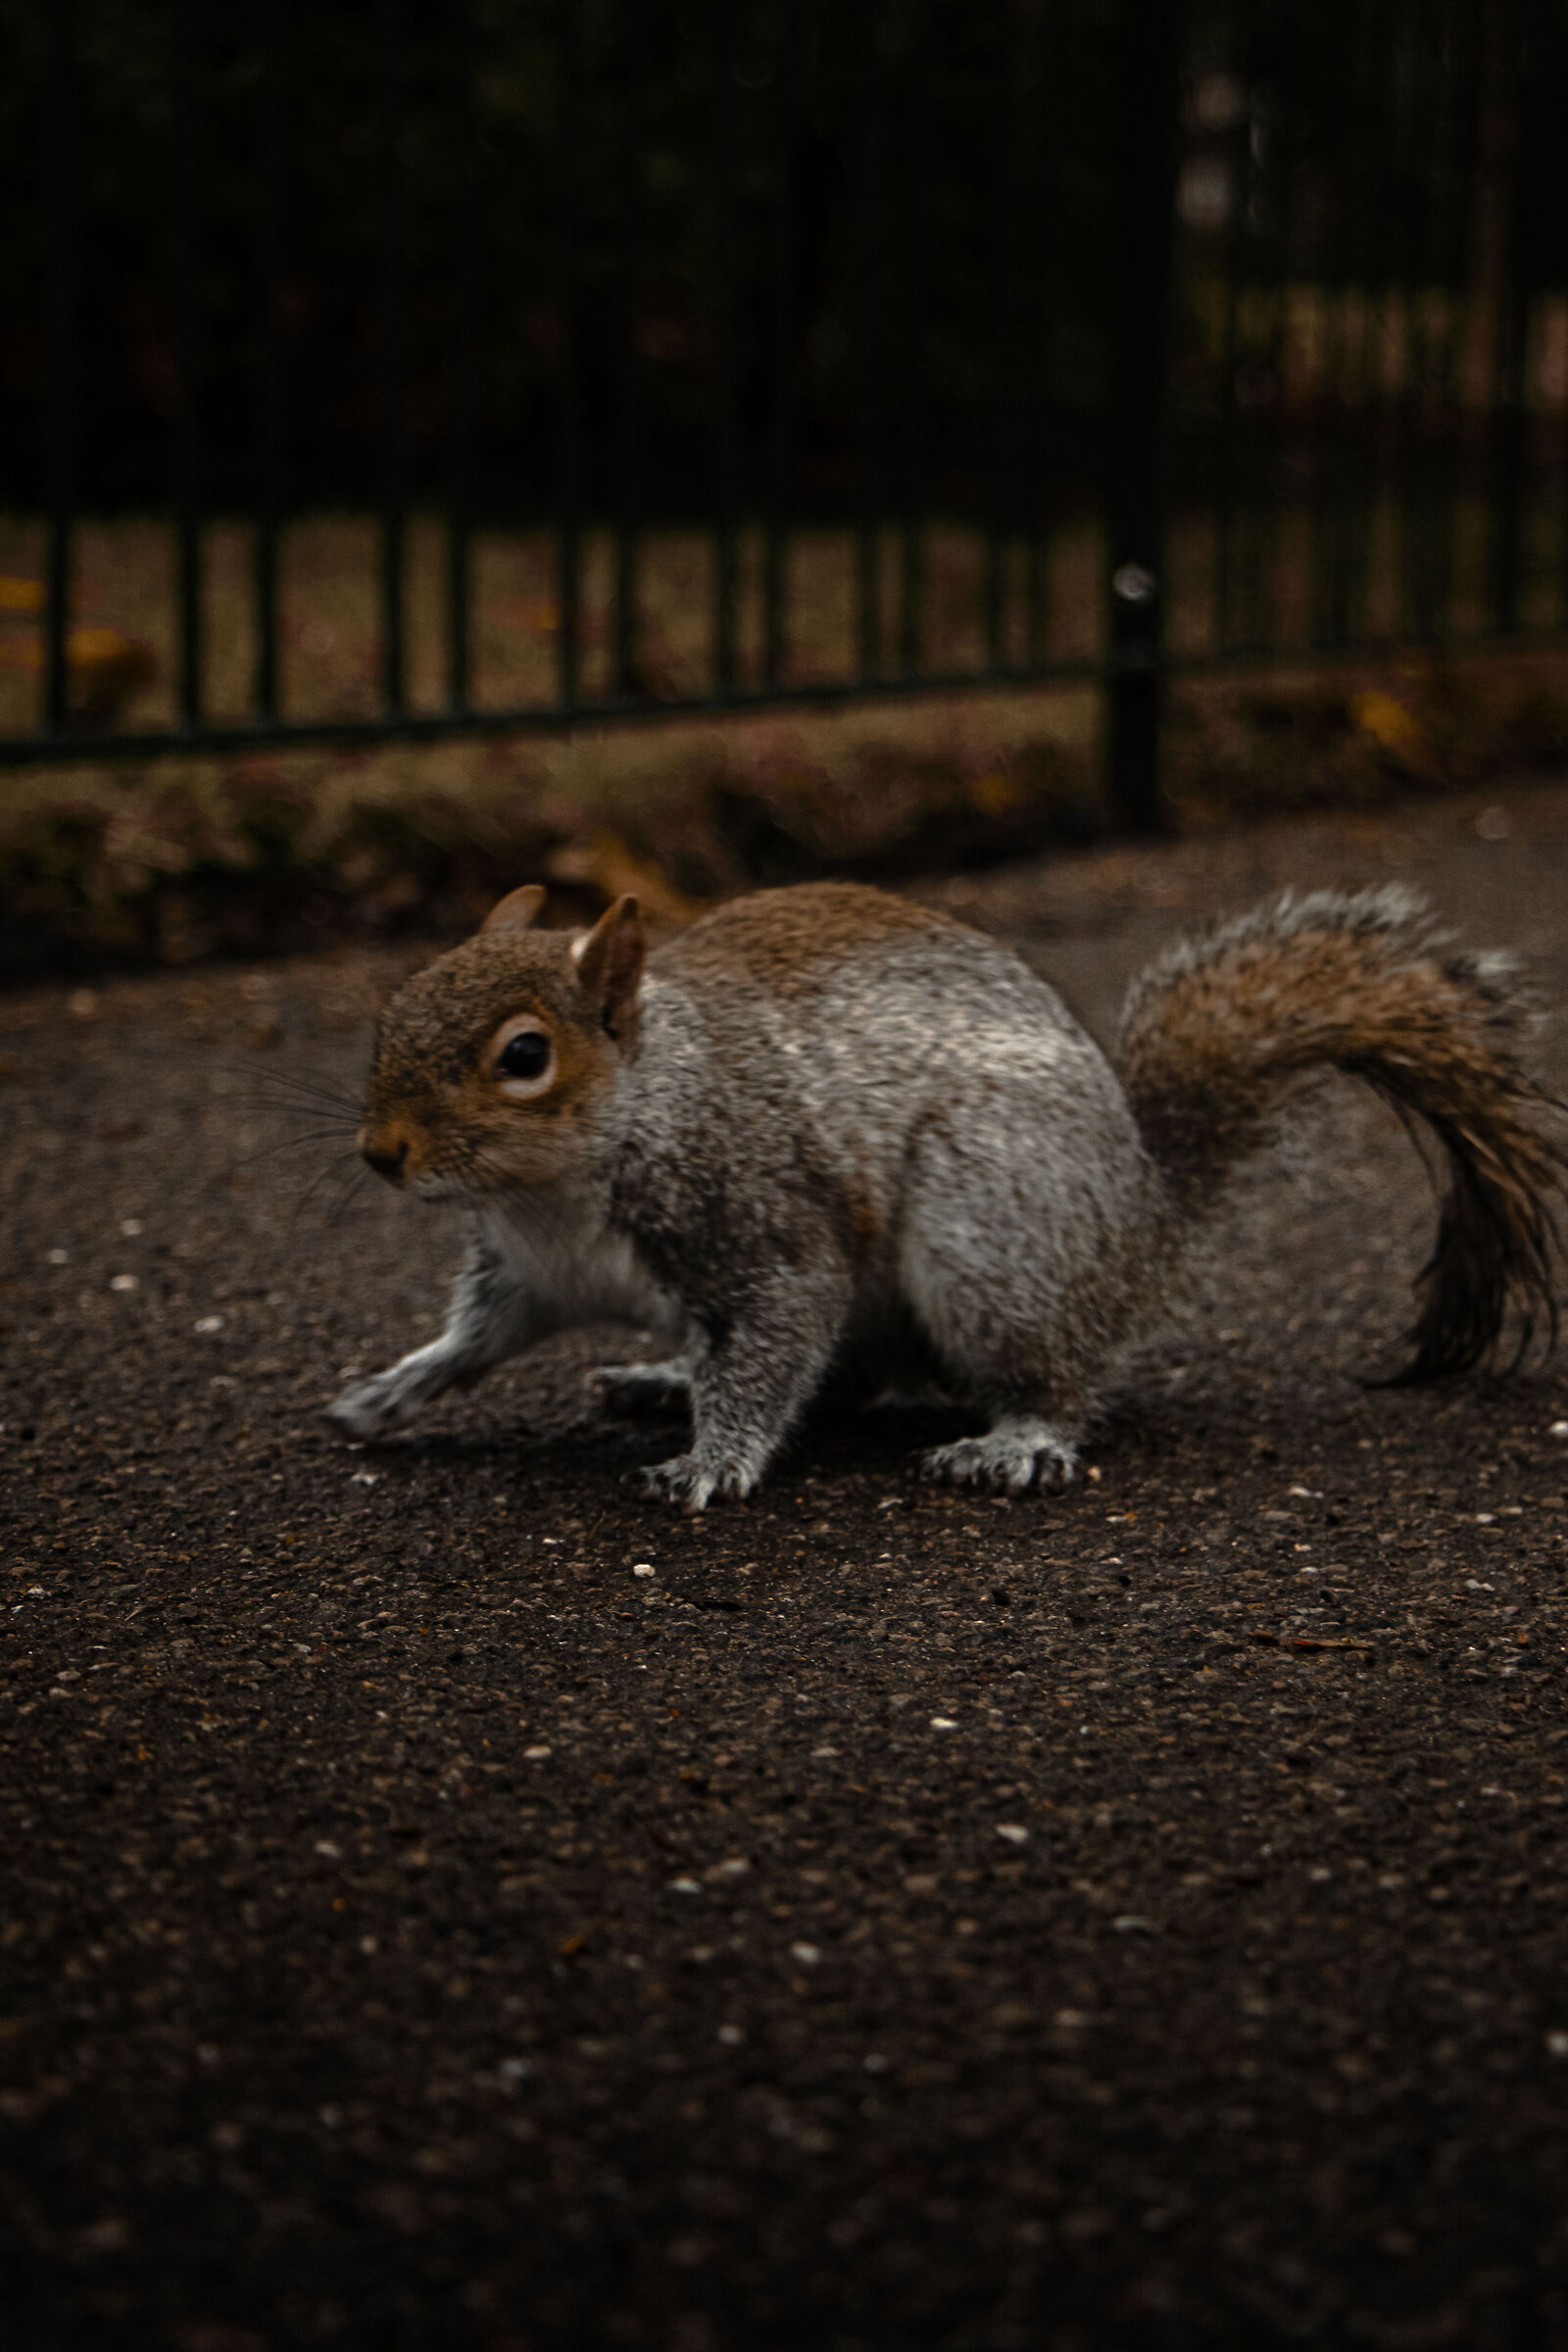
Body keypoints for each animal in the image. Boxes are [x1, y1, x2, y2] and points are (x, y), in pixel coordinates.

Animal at [330, 878, 1565, 1510]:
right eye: (395, 1008)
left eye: (524, 1056)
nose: (381, 1154)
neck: (556, 1186)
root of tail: (1145, 1221)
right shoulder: (530, 1275)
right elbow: (478, 1338)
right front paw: (392, 1393)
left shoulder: (763, 1221)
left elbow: (778, 1335)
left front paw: (712, 1461)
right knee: (854, 1376)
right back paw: (661, 1376)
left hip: (994, 1239)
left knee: (1038, 1380)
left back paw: (1014, 1439)